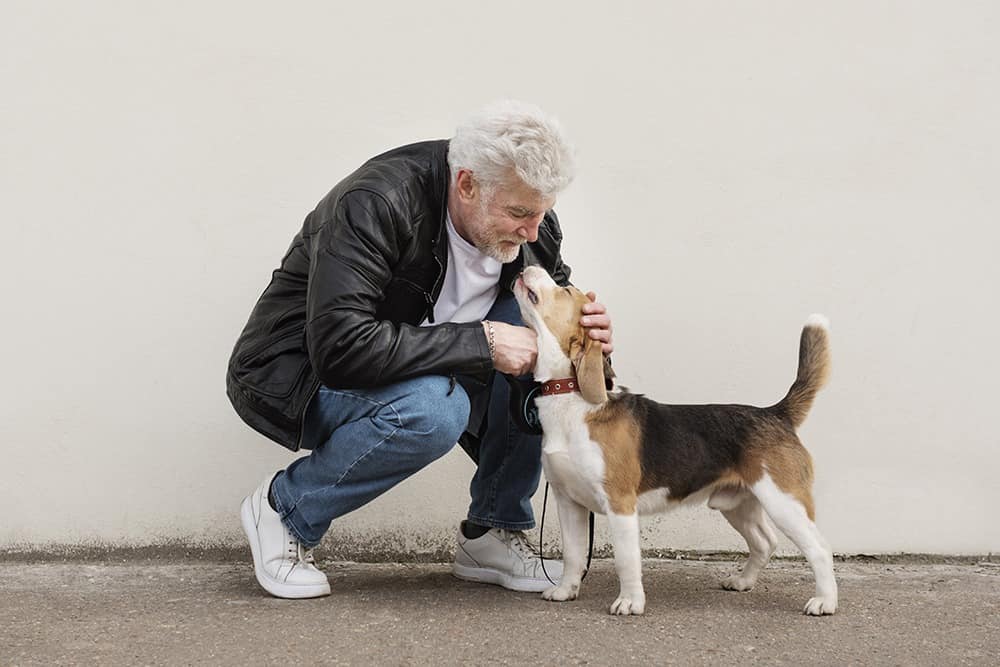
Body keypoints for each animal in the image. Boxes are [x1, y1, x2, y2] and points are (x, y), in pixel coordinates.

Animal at [516, 264, 836, 616]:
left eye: (565, 290)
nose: (530, 266)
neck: (569, 395)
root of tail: (776, 413)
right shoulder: (568, 501)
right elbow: (573, 554)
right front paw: (566, 590)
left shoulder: (620, 504)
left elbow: (626, 559)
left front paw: (630, 601)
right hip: (739, 502)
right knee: (765, 542)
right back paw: (742, 581)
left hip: (783, 501)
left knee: (820, 548)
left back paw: (825, 601)